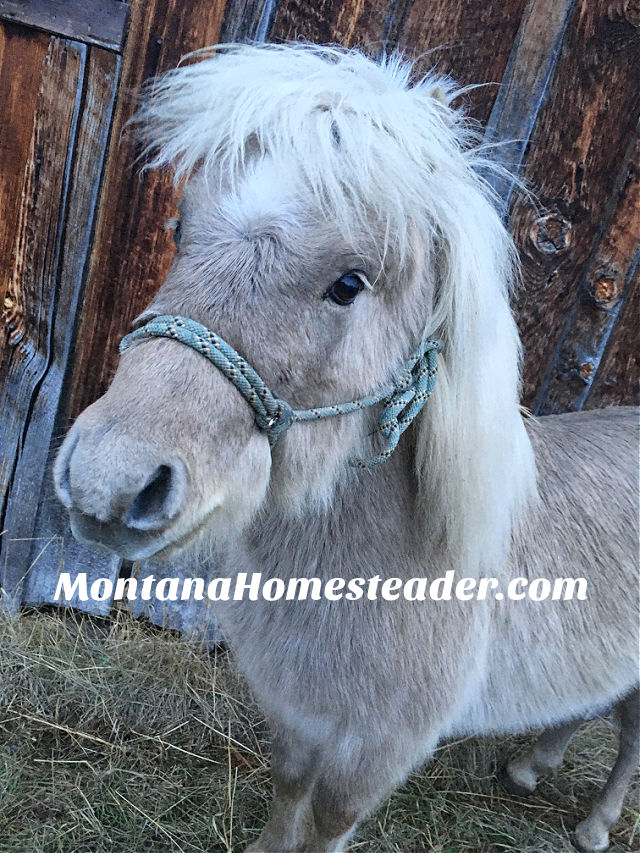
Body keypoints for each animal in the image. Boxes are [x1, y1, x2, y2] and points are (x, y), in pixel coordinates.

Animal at [54, 44, 638, 852]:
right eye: (178, 229)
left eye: (350, 282)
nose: (107, 482)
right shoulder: (297, 705)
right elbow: (290, 783)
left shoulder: (381, 746)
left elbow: (329, 817)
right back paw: (531, 767)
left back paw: (594, 825)